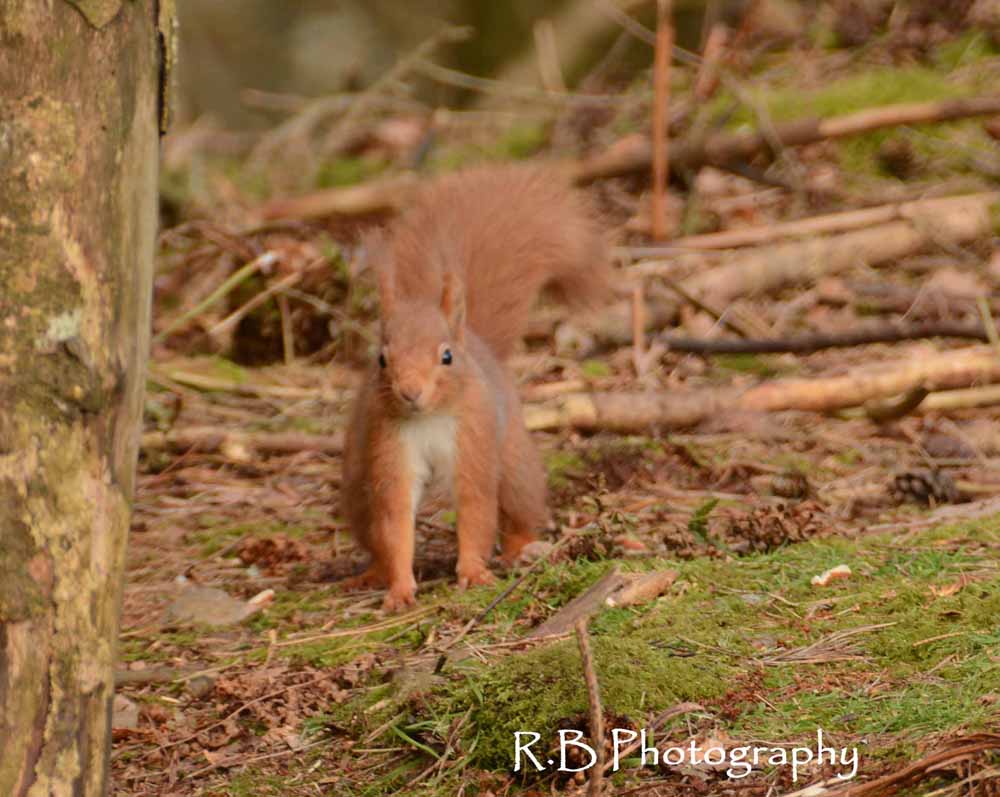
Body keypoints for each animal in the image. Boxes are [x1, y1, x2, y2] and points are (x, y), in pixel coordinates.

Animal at [342, 163, 608, 608]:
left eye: (446, 357)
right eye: (381, 359)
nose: (410, 392)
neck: (429, 418)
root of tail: (482, 344)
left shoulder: (474, 439)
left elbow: (476, 506)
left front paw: (472, 572)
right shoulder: (390, 444)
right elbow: (396, 520)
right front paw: (399, 588)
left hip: (514, 461)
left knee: (518, 503)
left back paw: (520, 549)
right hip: (358, 482)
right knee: (373, 526)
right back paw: (372, 573)